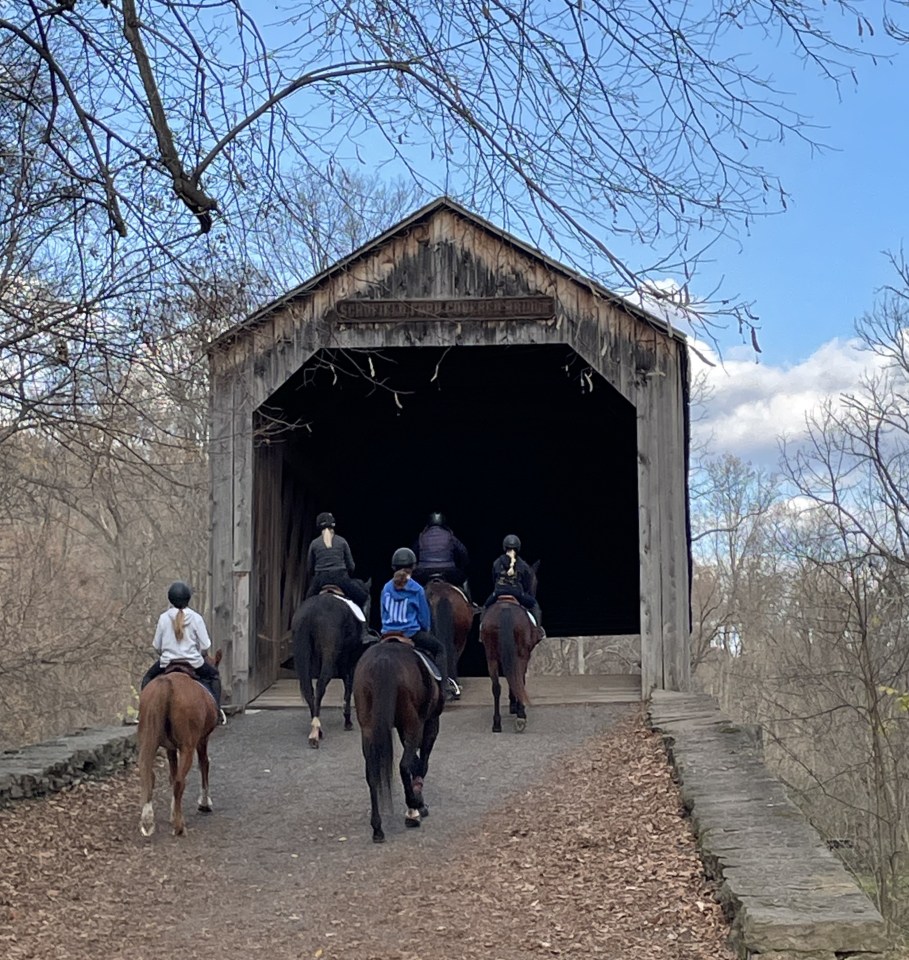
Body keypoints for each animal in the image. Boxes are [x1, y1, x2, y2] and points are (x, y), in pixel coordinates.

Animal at [137, 650, 222, 837]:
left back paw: (148, 821)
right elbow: (204, 764)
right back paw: (179, 826)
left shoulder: (170, 748)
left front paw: (173, 813)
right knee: (179, 781)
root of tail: (167, 685)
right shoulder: (202, 740)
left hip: (148, 739)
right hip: (187, 747)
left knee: (149, 774)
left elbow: (171, 774)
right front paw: (204, 803)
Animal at [291, 580, 371, 749]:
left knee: (309, 690)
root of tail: (311, 613)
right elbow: (348, 689)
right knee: (321, 685)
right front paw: (348, 721)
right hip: (330, 656)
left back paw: (317, 728)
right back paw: (315, 732)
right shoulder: (349, 663)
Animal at [353, 638, 444, 843]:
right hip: (412, 724)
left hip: (368, 730)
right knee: (403, 765)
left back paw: (377, 828)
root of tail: (383, 661)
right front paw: (419, 805)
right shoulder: (430, 722)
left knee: (373, 774)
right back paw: (413, 806)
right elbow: (422, 761)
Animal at [479, 561, 541, 733]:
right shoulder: (524, 655)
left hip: (491, 656)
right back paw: (521, 717)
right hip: (521, 654)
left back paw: (497, 724)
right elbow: (518, 678)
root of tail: (505, 609)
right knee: (518, 679)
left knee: (496, 687)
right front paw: (517, 709)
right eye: (535, 582)